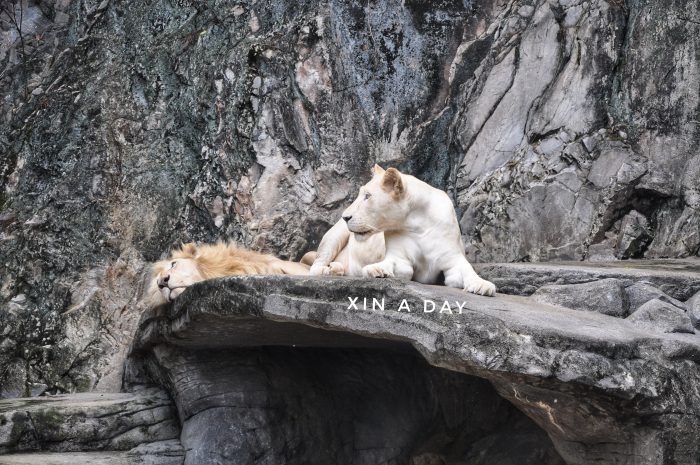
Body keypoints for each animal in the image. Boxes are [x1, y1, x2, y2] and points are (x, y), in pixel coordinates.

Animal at [308, 165, 498, 296]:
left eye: (367, 196)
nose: (345, 217)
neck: (417, 224)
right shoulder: (398, 257)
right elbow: (399, 266)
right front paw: (378, 271)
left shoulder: (452, 259)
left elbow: (467, 270)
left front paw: (482, 285)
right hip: (333, 236)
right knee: (315, 266)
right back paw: (328, 270)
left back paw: (336, 268)